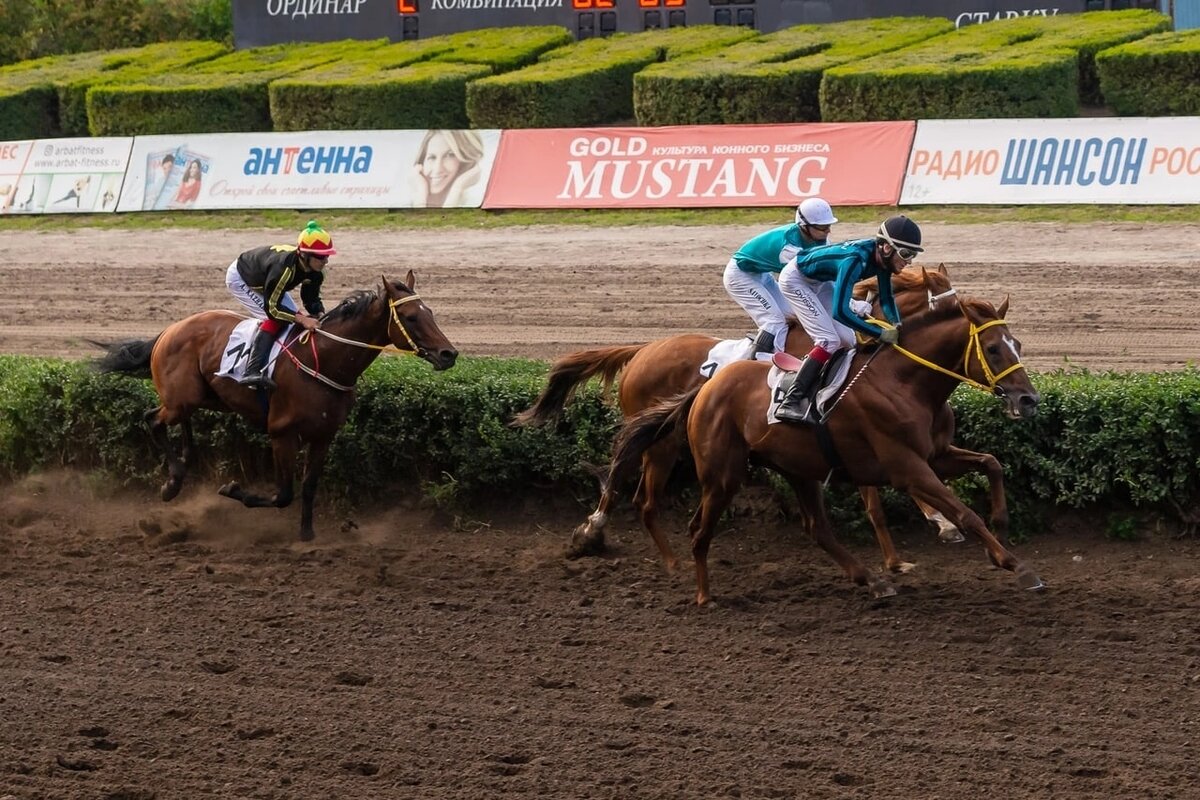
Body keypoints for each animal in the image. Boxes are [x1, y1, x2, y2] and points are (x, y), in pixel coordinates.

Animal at [93, 272, 456, 542]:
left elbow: (308, 487)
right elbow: (284, 494)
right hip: (181, 399)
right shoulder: (282, 434)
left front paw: (307, 535)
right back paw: (172, 483)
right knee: (152, 419)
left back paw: (183, 463)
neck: (324, 361)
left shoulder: (323, 436)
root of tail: (169, 330)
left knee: (181, 423)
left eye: (430, 313)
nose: (449, 354)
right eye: (411, 317)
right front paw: (233, 489)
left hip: (202, 398)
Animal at [511, 268, 1008, 575]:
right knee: (631, 488)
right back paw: (598, 533)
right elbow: (882, 497)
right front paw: (928, 533)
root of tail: (641, 350)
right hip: (664, 445)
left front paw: (922, 537)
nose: (971, 307)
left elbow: (881, 496)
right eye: (945, 298)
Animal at [604, 266, 1046, 604]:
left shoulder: (935, 454)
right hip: (711, 469)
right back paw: (689, 583)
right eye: (993, 348)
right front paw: (1013, 563)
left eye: (1018, 343)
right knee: (672, 515)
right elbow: (959, 511)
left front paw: (1000, 523)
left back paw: (871, 580)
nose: (1028, 399)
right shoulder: (906, 466)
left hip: (798, 468)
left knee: (816, 526)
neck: (904, 382)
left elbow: (992, 463)